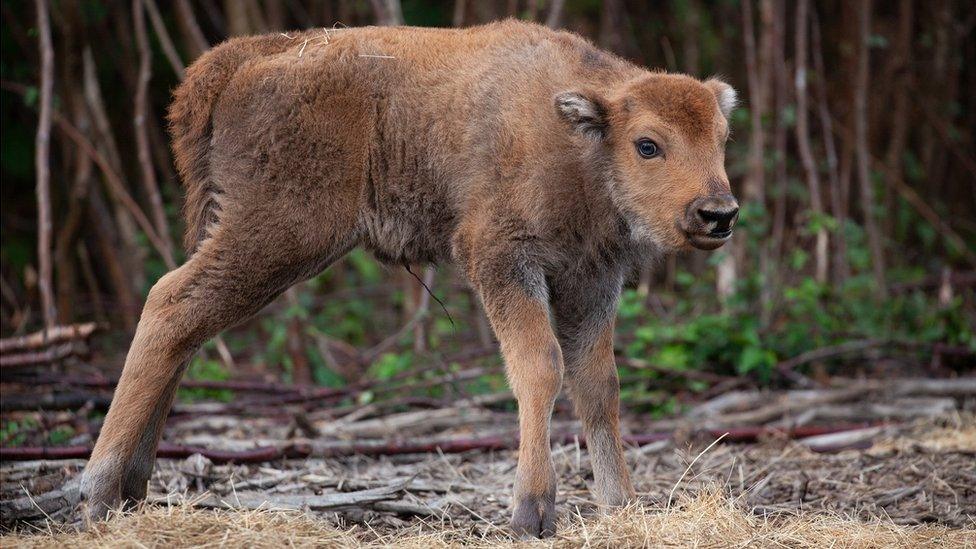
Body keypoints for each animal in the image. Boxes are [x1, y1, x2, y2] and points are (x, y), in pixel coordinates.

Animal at [82, 20, 740, 536]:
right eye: (648, 145)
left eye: (721, 139)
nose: (719, 213)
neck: (578, 139)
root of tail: (242, 57)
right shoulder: (501, 260)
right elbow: (540, 367)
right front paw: (531, 512)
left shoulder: (592, 280)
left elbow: (599, 386)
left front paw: (623, 507)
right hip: (277, 233)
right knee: (169, 304)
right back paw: (95, 492)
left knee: (186, 328)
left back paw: (130, 490)